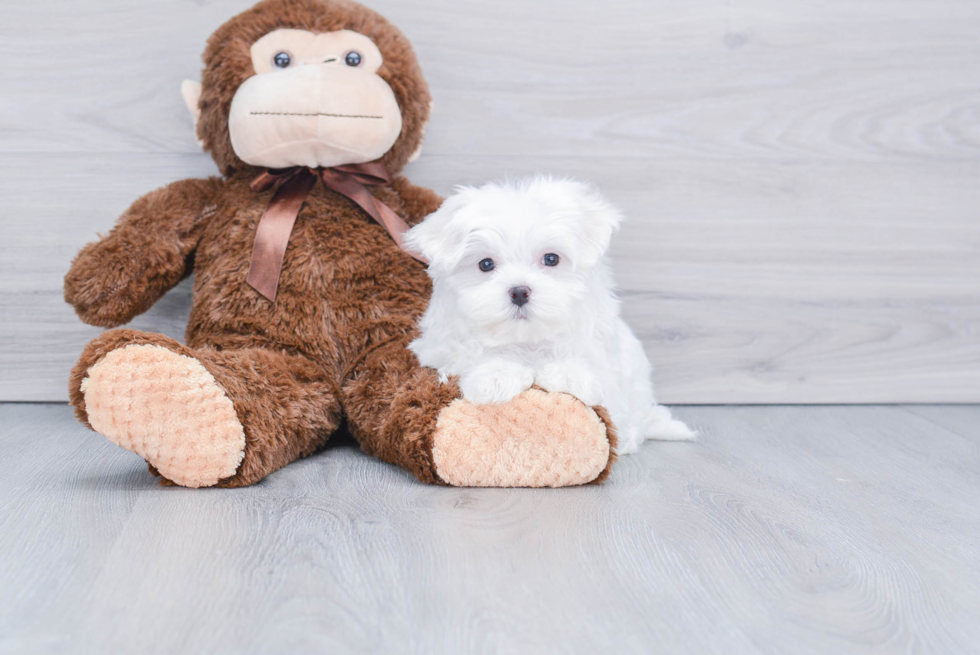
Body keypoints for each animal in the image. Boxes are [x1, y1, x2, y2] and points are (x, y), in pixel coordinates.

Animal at [402, 177, 692, 454]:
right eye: (486, 264)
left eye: (551, 259)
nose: (519, 291)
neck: (528, 339)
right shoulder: (441, 347)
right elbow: (472, 355)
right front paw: (495, 374)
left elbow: (586, 365)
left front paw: (568, 374)